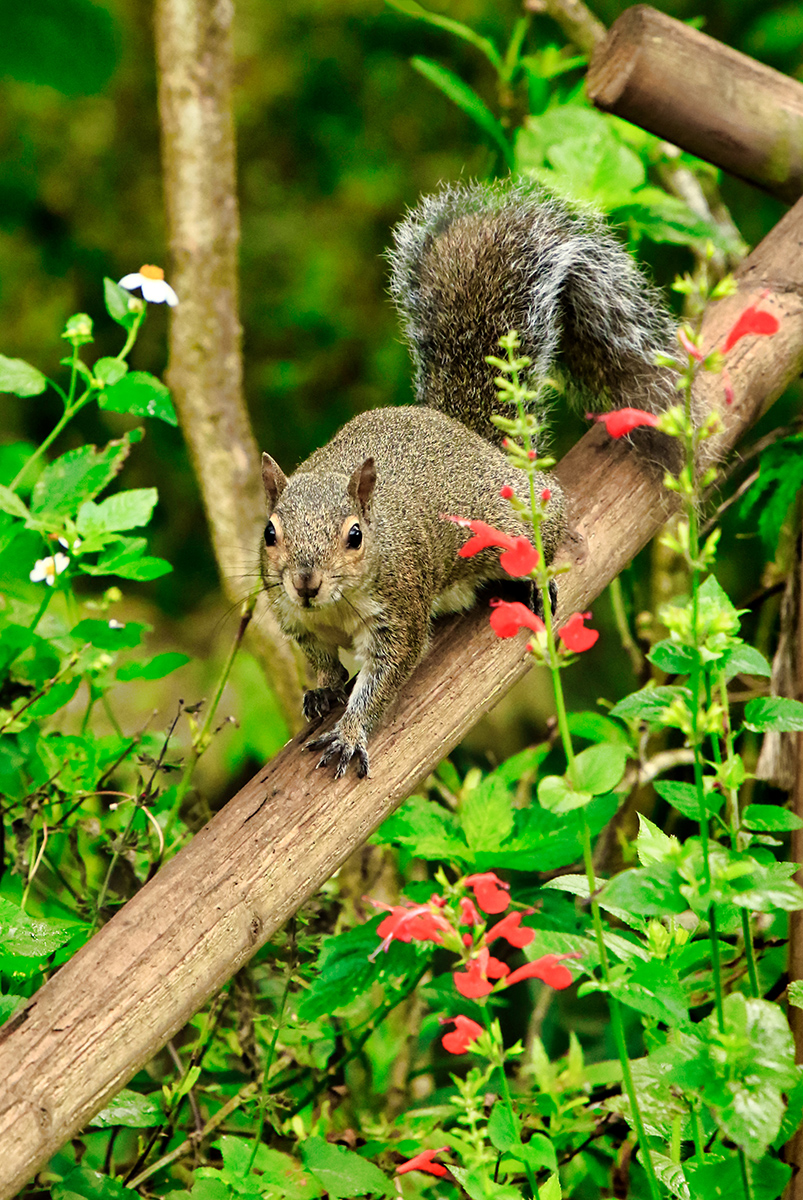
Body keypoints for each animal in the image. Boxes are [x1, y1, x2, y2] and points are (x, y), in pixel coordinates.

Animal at [260, 179, 677, 779]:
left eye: (355, 535)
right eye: (270, 533)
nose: (305, 582)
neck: (333, 608)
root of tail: (466, 433)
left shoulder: (401, 615)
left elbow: (384, 680)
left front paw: (352, 732)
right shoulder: (291, 618)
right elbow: (321, 661)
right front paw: (324, 689)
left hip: (507, 520)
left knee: (550, 520)